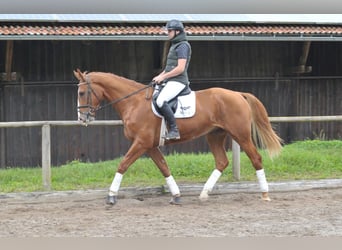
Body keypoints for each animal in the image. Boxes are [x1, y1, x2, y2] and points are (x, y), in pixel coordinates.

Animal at [73, 69, 282, 205]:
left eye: (82, 93)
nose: (82, 119)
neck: (134, 102)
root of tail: (238, 94)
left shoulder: (141, 143)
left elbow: (123, 164)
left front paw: (111, 195)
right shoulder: (150, 146)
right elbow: (164, 167)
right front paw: (176, 195)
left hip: (240, 135)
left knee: (256, 158)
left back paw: (265, 194)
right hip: (215, 135)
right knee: (222, 162)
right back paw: (204, 194)